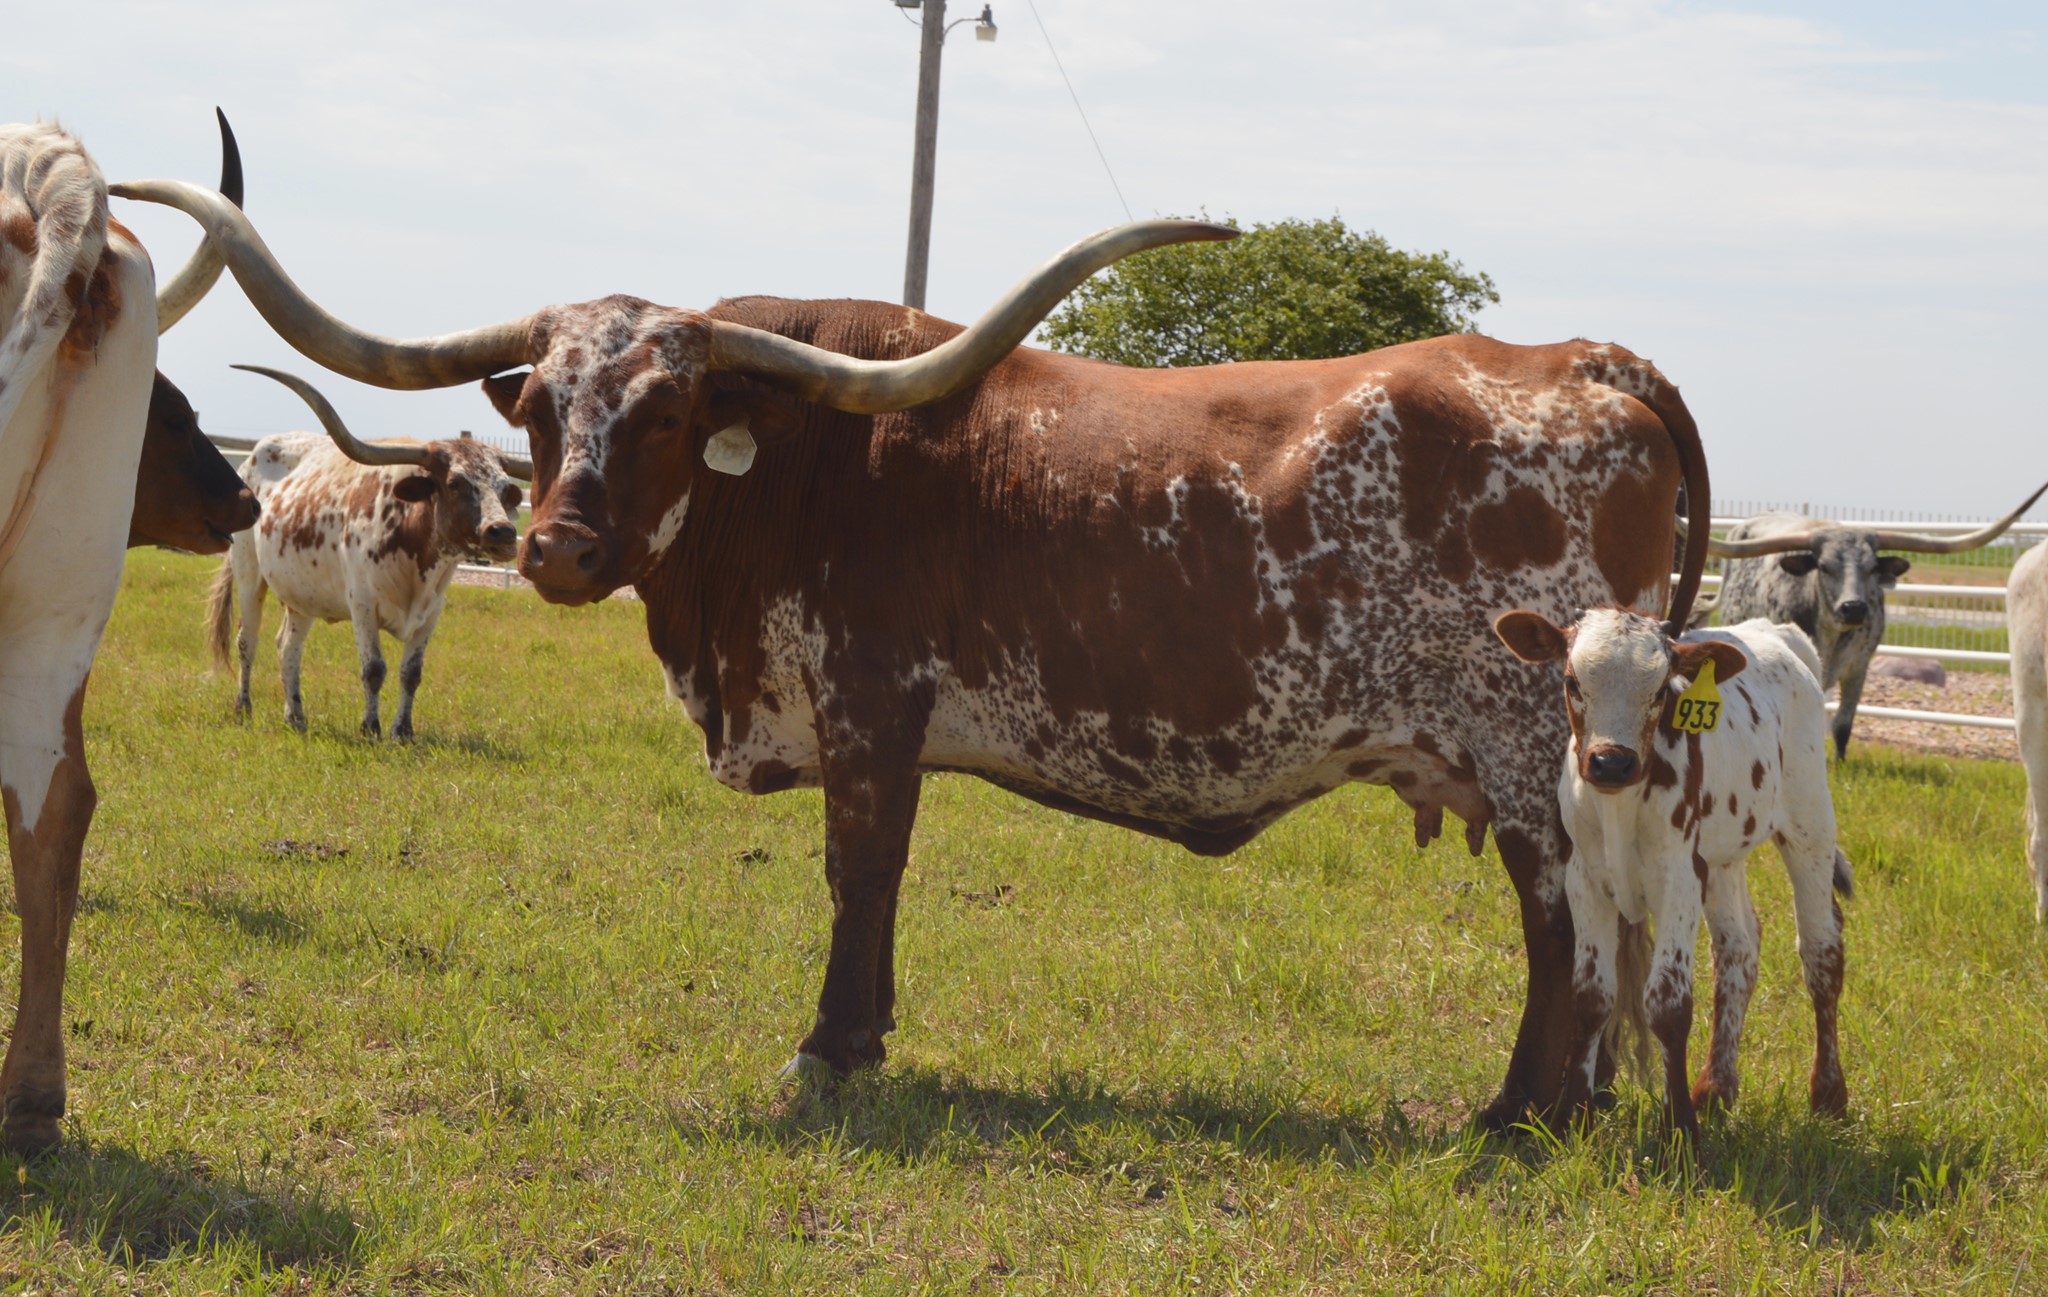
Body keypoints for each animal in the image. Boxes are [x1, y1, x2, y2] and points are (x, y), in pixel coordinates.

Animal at [205, 365, 531, 740]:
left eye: (504, 488)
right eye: (455, 483)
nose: (503, 532)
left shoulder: (431, 612)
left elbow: (411, 673)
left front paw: (403, 731)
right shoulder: (361, 603)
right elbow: (374, 668)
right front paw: (370, 728)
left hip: (301, 593)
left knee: (288, 647)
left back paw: (296, 716)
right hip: (248, 573)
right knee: (247, 640)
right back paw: (243, 708)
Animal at [1494, 608, 1851, 1138]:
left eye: (1661, 689)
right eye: (1572, 680)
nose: (1611, 763)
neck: (1619, 807)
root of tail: (1776, 632)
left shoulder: (1679, 879)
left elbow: (1668, 1004)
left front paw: (1678, 1129)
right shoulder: (1584, 879)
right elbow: (1591, 996)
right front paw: (1574, 1117)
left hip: (1810, 825)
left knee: (1821, 950)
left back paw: (1828, 1093)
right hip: (1722, 857)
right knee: (1739, 949)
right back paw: (1717, 1087)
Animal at [1688, 486, 2048, 759]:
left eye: (1872, 568)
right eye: (1823, 566)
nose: (1853, 608)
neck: (1831, 634)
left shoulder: (1859, 667)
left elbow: (1843, 724)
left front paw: (1840, 764)